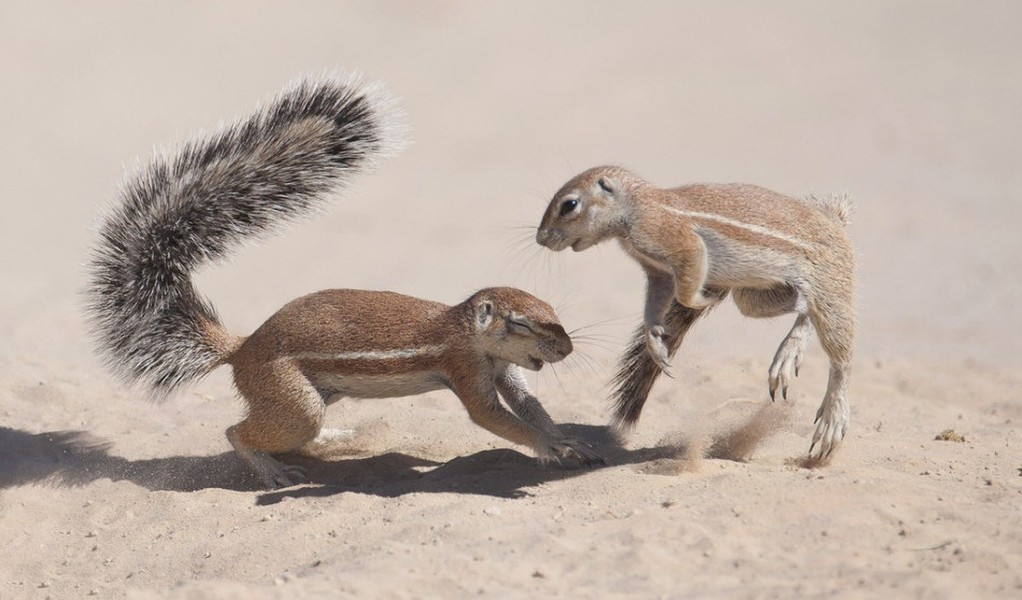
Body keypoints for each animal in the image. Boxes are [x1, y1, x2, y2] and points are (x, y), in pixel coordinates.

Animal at [87, 74, 600, 488]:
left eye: (553, 311)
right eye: (520, 323)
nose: (567, 348)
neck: (469, 332)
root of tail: (242, 346)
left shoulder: (505, 372)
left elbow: (530, 406)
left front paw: (566, 437)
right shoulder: (464, 365)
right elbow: (495, 418)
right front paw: (553, 448)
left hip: (318, 393)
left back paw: (337, 438)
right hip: (292, 396)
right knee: (239, 431)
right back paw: (274, 470)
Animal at [535, 165, 854, 459]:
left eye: (569, 205)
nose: (540, 238)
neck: (636, 206)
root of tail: (835, 220)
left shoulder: (676, 240)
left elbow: (687, 282)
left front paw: (700, 299)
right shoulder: (657, 271)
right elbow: (656, 303)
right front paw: (655, 342)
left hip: (830, 283)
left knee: (841, 357)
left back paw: (832, 417)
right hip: (755, 296)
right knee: (804, 308)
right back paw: (790, 350)